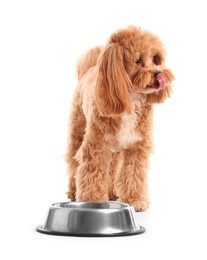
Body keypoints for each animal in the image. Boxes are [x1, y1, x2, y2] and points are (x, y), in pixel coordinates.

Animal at [65, 24, 175, 211]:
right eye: (138, 60)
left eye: (155, 58)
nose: (159, 74)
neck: (130, 97)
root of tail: (90, 69)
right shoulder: (96, 146)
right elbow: (92, 173)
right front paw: (93, 200)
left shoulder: (137, 146)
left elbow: (133, 174)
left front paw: (135, 200)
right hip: (78, 131)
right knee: (74, 163)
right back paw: (73, 191)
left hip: (115, 149)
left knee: (112, 168)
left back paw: (111, 192)